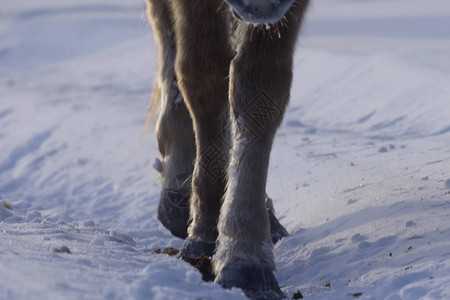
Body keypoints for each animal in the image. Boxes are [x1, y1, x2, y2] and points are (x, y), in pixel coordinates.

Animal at [145, 0, 310, 298]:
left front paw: (245, 257)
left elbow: (260, 90)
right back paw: (178, 188)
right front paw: (205, 232)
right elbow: (203, 79)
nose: (260, 5)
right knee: (166, 34)